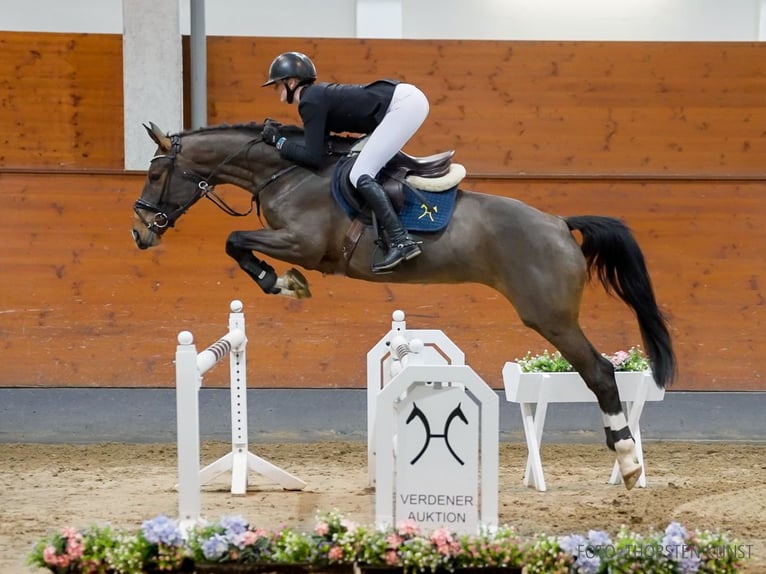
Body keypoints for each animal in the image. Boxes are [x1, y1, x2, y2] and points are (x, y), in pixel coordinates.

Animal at [132, 121, 680, 490]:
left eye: (156, 172)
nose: (140, 233)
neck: (286, 173)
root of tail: (560, 224)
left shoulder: (303, 244)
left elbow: (234, 240)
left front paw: (281, 282)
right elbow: (236, 241)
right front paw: (283, 283)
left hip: (551, 318)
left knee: (600, 372)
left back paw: (628, 460)